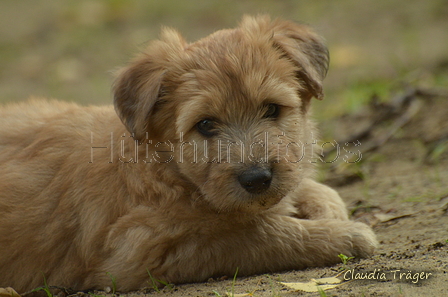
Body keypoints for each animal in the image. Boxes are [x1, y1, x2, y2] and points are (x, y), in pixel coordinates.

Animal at [0, 15, 378, 290]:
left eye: (272, 109)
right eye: (206, 124)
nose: (257, 179)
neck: (169, 172)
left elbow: (309, 189)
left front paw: (326, 207)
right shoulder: (144, 250)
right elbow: (258, 235)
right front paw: (343, 236)